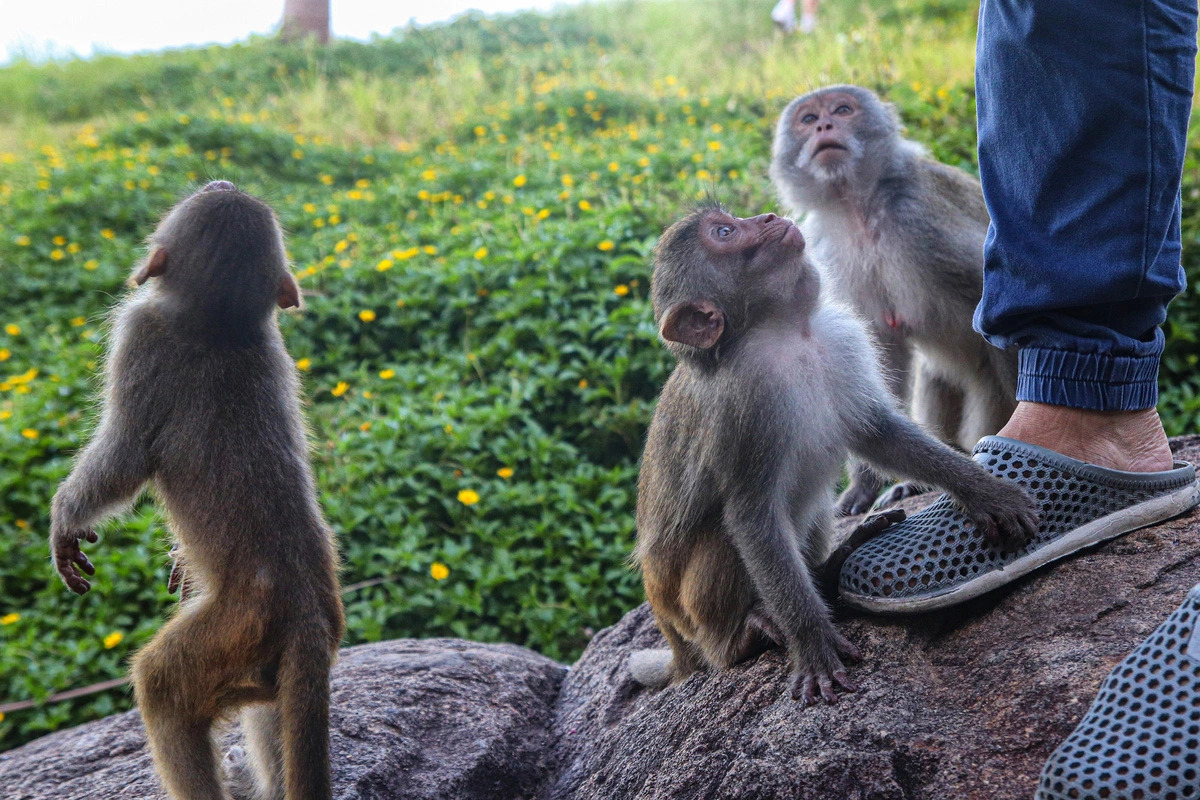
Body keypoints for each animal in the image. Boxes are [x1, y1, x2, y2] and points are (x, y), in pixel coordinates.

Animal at [49, 181, 345, 800]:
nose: (223, 183)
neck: (222, 326)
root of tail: (308, 614)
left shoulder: (141, 333)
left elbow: (125, 458)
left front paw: (64, 520)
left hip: (235, 631)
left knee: (162, 687)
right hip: (268, 656)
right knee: (273, 707)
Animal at [628, 203, 1041, 705]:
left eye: (729, 220)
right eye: (724, 232)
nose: (768, 216)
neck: (790, 334)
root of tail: (671, 636)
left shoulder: (841, 344)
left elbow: (878, 434)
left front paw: (984, 491)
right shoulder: (743, 404)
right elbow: (751, 515)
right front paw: (812, 642)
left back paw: (830, 569)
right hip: (690, 617)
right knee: (723, 542)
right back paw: (741, 636)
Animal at [768, 84, 1012, 515]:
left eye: (842, 110)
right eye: (808, 119)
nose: (825, 126)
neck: (857, 207)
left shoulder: (921, 219)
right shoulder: (828, 248)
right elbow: (881, 353)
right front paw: (863, 486)